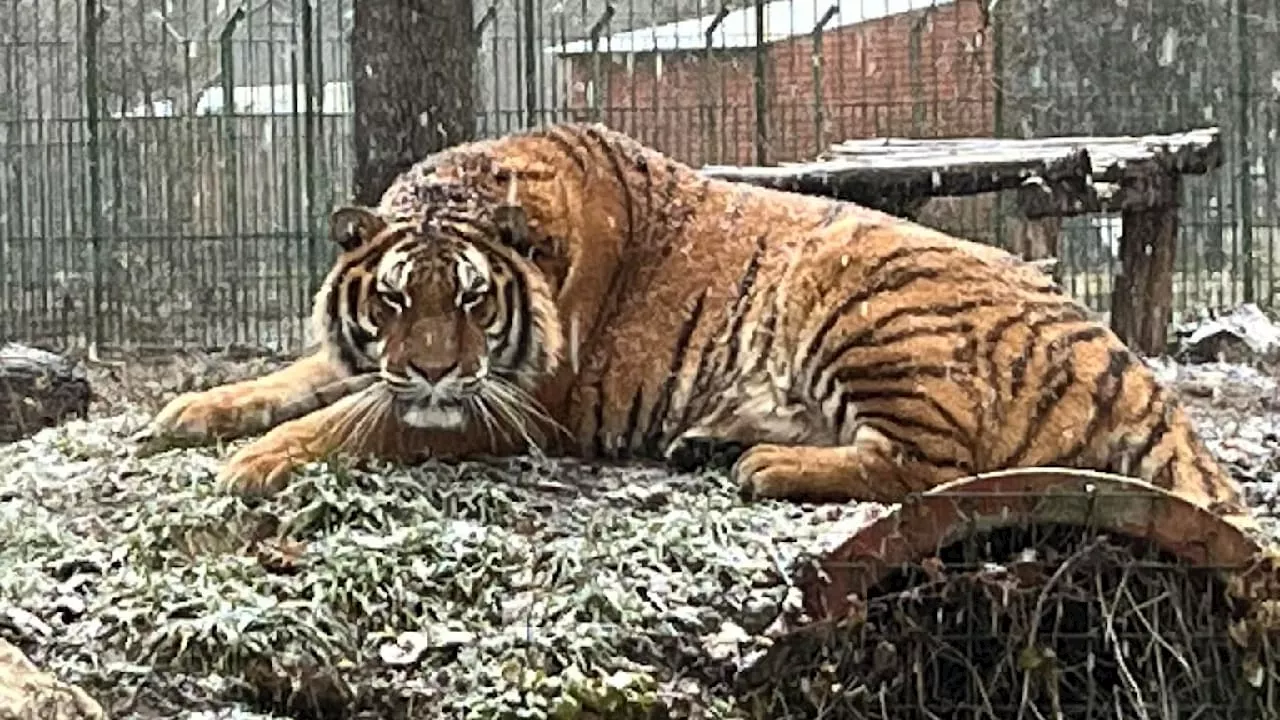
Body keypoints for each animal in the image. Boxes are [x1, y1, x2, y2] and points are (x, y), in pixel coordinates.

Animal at [135, 120, 1254, 530]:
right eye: (395, 299)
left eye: (474, 302)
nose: (434, 371)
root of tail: (1127, 363)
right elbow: (301, 378)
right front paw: (192, 412)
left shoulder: (516, 406)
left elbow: (355, 419)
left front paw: (256, 461)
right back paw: (712, 441)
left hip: (861, 296)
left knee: (932, 469)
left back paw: (764, 464)